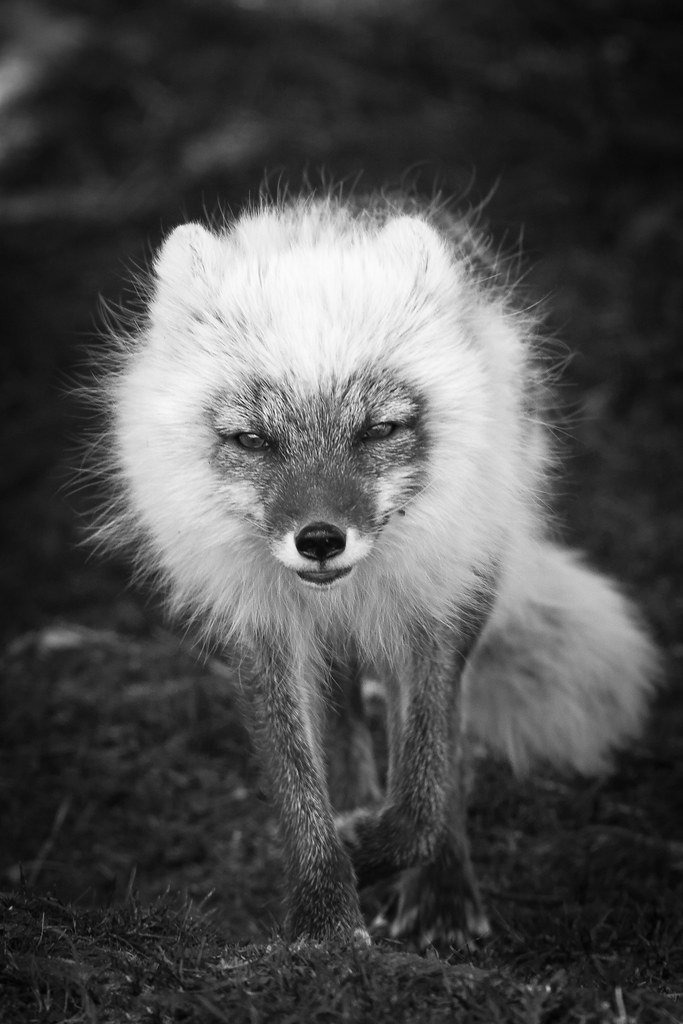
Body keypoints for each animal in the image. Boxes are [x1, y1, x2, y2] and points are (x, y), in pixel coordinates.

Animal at [93, 192, 659, 949]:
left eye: (378, 430)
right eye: (252, 439)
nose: (319, 540)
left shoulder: (439, 616)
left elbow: (423, 793)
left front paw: (383, 859)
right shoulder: (264, 632)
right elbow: (300, 787)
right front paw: (325, 910)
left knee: (437, 752)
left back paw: (437, 887)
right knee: (347, 727)